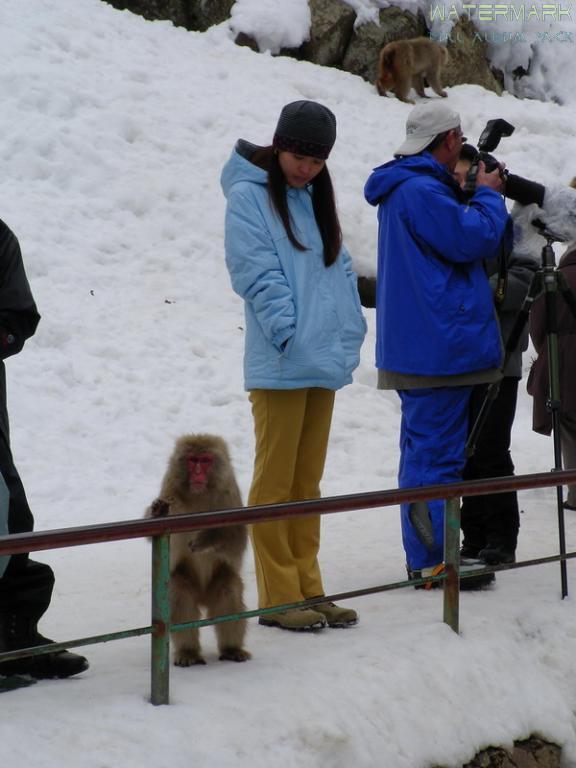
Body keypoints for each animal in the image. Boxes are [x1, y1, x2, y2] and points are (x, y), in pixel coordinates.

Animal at [144, 438, 250, 664]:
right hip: (187, 583)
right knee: (179, 591)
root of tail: (203, 597)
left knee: (228, 590)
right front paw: (157, 512)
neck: (200, 493)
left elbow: (237, 538)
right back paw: (189, 652)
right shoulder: (170, 490)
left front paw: (206, 539)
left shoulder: (229, 491)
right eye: (193, 460)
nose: (199, 473)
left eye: (206, 460)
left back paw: (231, 648)